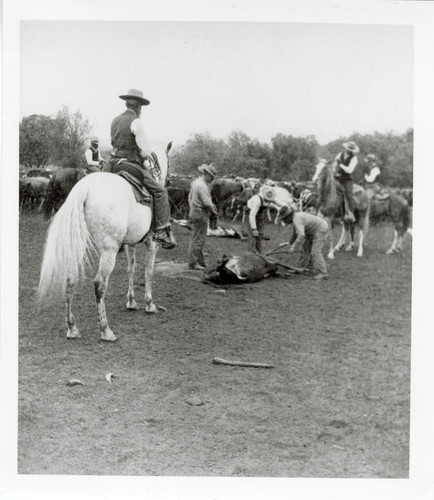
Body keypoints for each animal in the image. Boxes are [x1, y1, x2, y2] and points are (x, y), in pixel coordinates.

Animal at [37, 143, 172, 342]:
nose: (168, 181)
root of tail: (85, 187)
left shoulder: (130, 243)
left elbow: (131, 269)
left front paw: (131, 302)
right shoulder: (151, 244)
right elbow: (149, 271)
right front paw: (149, 304)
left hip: (79, 245)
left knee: (70, 279)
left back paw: (72, 328)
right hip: (108, 251)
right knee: (100, 284)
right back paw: (105, 329)